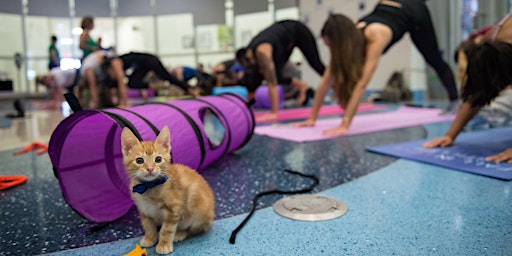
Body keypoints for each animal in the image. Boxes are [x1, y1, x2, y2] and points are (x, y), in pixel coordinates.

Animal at [121, 125, 215, 254]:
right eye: (139, 160)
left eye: (158, 159)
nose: (150, 168)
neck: (149, 186)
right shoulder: (144, 209)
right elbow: (148, 225)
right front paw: (150, 238)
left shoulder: (174, 209)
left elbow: (167, 229)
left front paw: (164, 244)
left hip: (199, 212)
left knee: (196, 230)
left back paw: (180, 233)